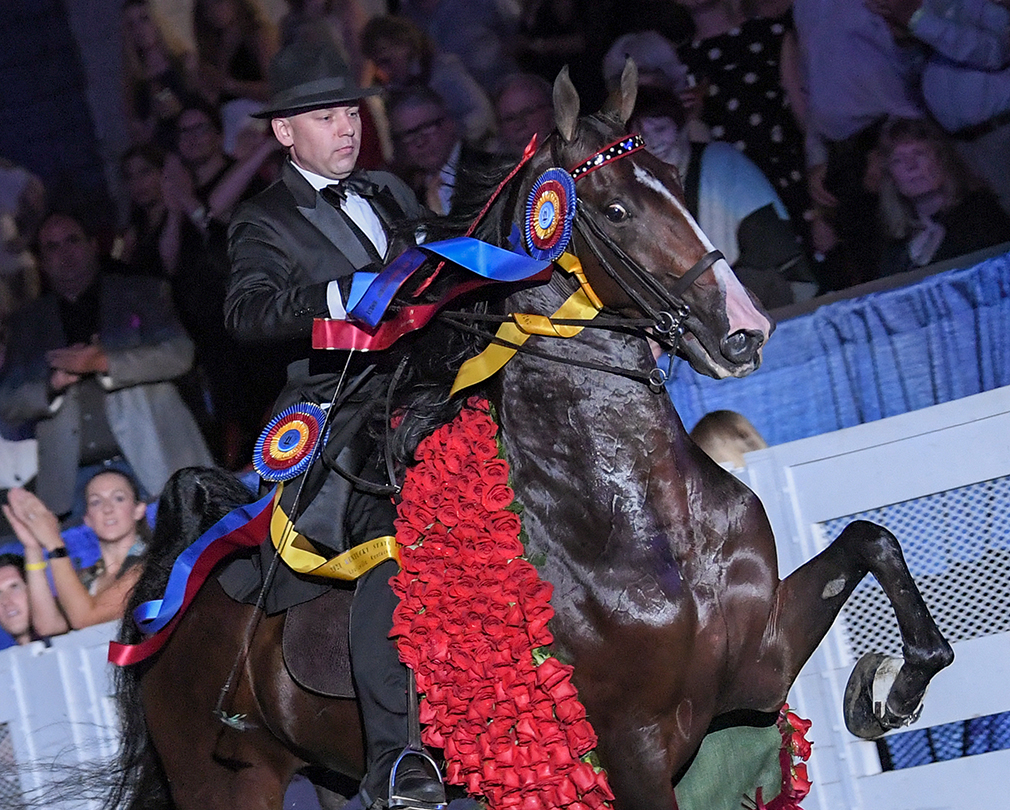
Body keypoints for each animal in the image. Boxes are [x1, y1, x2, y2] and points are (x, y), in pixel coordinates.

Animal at [110, 66, 953, 807]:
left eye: (675, 179)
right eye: (613, 211)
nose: (745, 333)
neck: (647, 512)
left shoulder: (757, 670)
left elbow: (873, 539)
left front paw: (890, 690)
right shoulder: (632, 746)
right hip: (225, 783)